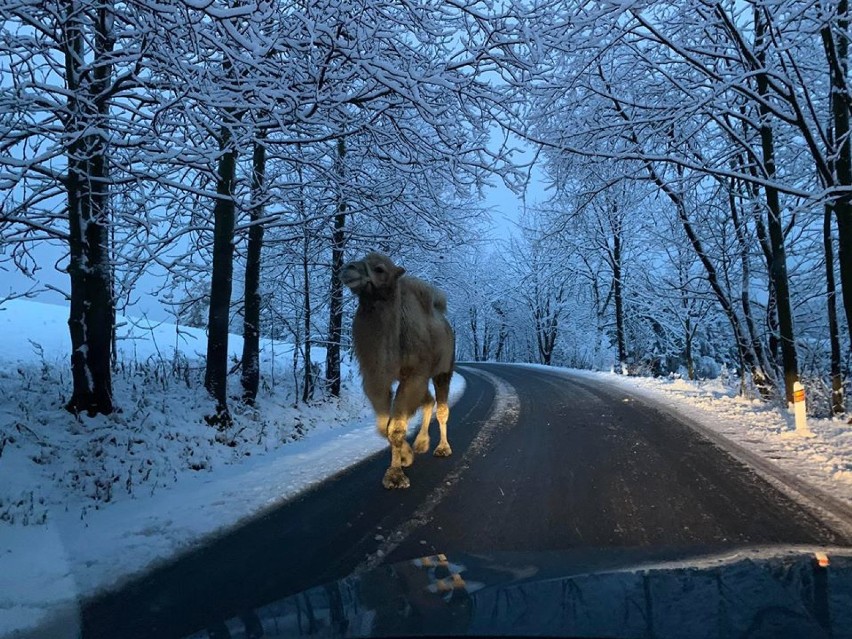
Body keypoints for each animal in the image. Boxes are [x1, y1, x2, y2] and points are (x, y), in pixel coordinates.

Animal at [342, 252, 456, 488]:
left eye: (379, 269)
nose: (348, 269)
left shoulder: (414, 375)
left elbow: (395, 426)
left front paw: (395, 475)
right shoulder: (376, 378)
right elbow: (384, 426)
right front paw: (405, 457)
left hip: (443, 370)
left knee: (441, 409)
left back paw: (442, 448)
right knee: (428, 400)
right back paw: (421, 444)